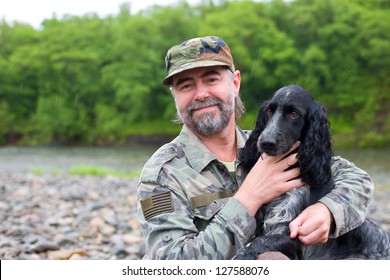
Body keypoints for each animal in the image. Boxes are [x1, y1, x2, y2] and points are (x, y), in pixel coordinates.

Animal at [235, 84, 390, 260]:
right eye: (269, 111)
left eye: (294, 114)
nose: (266, 142)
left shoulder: (293, 235)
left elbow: (258, 242)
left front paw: (242, 255)